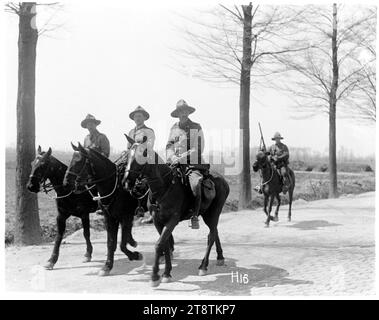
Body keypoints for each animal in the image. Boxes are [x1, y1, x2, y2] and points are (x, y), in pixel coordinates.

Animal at [63, 144, 142, 276]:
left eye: (79, 161)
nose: (66, 182)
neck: (115, 187)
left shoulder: (125, 216)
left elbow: (121, 245)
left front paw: (135, 255)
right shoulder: (109, 218)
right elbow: (111, 243)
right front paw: (107, 266)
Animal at [122, 135, 229, 288]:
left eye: (143, 154)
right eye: (128, 155)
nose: (126, 182)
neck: (164, 188)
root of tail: (223, 180)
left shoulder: (172, 221)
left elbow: (159, 244)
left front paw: (155, 276)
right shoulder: (158, 221)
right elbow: (165, 244)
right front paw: (167, 273)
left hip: (214, 213)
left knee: (211, 236)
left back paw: (203, 266)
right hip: (207, 214)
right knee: (215, 232)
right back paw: (220, 257)